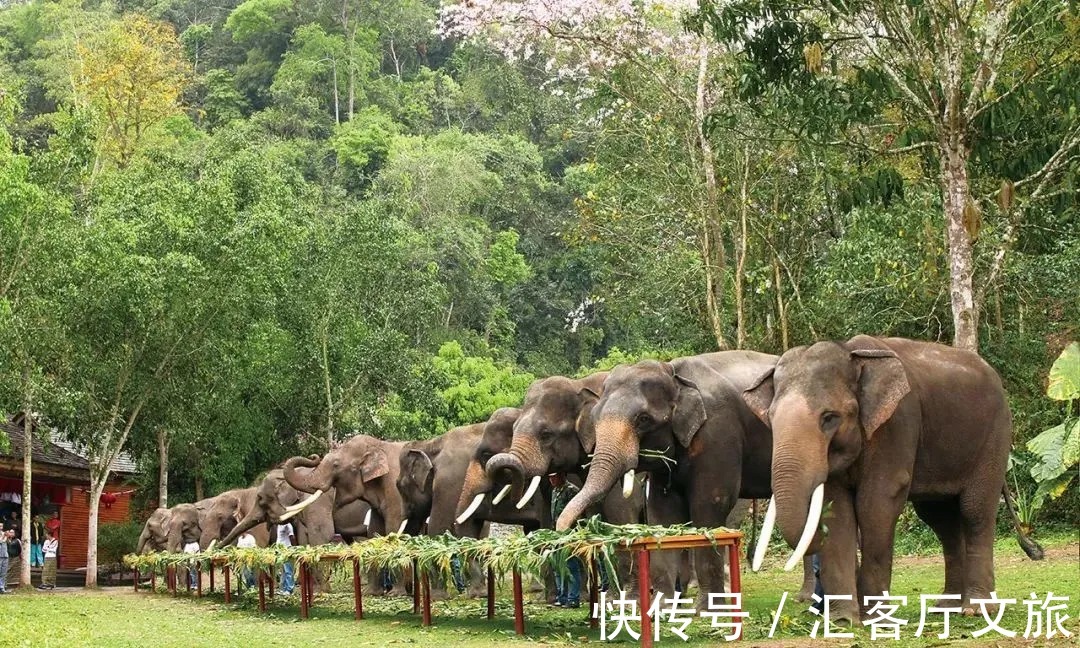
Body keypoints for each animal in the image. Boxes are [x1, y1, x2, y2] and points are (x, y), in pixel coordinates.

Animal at [552, 352, 812, 609]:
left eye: (643, 419)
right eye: (594, 418)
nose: (562, 531)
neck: (673, 373)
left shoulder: (718, 434)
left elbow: (709, 506)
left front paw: (707, 610)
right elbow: (663, 514)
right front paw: (662, 608)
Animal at [743, 336, 1045, 622]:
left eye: (829, 417)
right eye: (771, 419)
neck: (850, 352)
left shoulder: (897, 423)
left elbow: (877, 502)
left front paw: (875, 617)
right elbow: (837, 508)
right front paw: (844, 620)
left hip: (994, 438)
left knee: (975, 512)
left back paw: (977, 610)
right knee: (941, 520)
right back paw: (945, 608)